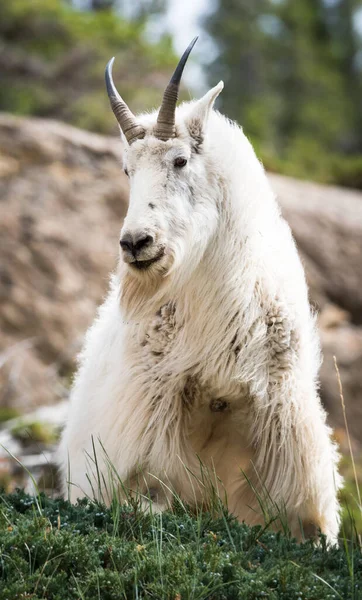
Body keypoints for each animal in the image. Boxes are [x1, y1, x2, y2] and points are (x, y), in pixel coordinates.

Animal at [58, 37, 340, 544]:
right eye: (127, 170)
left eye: (180, 159)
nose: (136, 243)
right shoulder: (147, 433)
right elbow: (150, 496)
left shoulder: (289, 435)